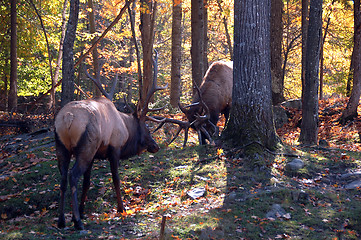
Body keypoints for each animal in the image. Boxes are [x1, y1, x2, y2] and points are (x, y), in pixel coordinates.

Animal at [54, 53, 166, 230]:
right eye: (147, 129)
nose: (155, 146)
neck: (126, 131)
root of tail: (67, 118)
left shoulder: (94, 155)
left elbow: (87, 182)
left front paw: (82, 211)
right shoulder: (114, 148)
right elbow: (116, 179)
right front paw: (121, 208)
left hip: (62, 147)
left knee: (64, 178)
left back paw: (61, 221)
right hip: (86, 148)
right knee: (73, 175)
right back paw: (77, 222)